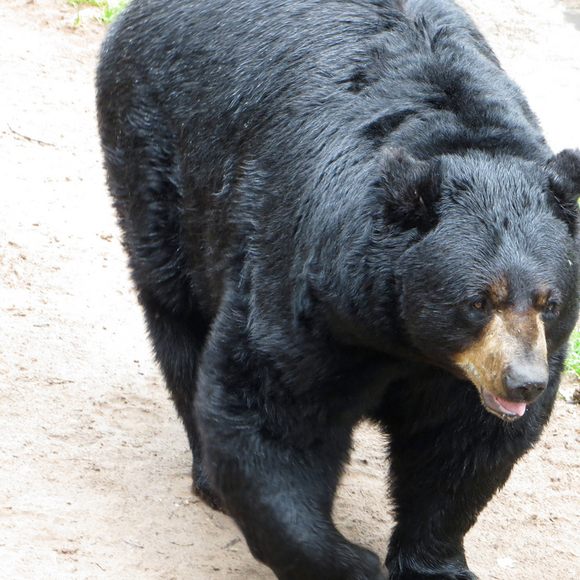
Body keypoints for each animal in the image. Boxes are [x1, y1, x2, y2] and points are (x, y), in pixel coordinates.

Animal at [96, 1, 580, 580]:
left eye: (550, 302)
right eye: (478, 300)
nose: (523, 383)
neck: (400, 339)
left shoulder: (470, 375)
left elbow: (462, 447)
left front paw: (434, 562)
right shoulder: (306, 288)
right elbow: (271, 410)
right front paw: (347, 561)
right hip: (163, 160)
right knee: (177, 313)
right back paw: (208, 476)